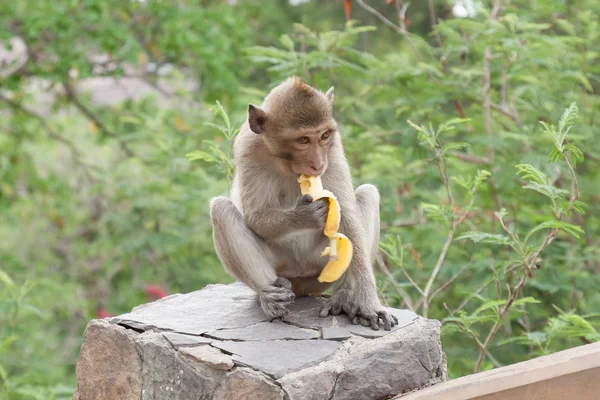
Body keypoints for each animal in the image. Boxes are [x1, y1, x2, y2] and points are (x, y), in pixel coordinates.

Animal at [209, 76, 400, 330]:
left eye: (324, 136)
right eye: (303, 140)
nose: (318, 164)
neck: (286, 163)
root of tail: (301, 284)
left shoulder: (334, 150)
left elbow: (348, 216)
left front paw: (368, 304)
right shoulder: (247, 147)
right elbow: (255, 216)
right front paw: (304, 215)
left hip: (320, 267)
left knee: (368, 194)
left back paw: (344, 297)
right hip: (282, 267)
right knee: (220, 209)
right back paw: (270, 297)